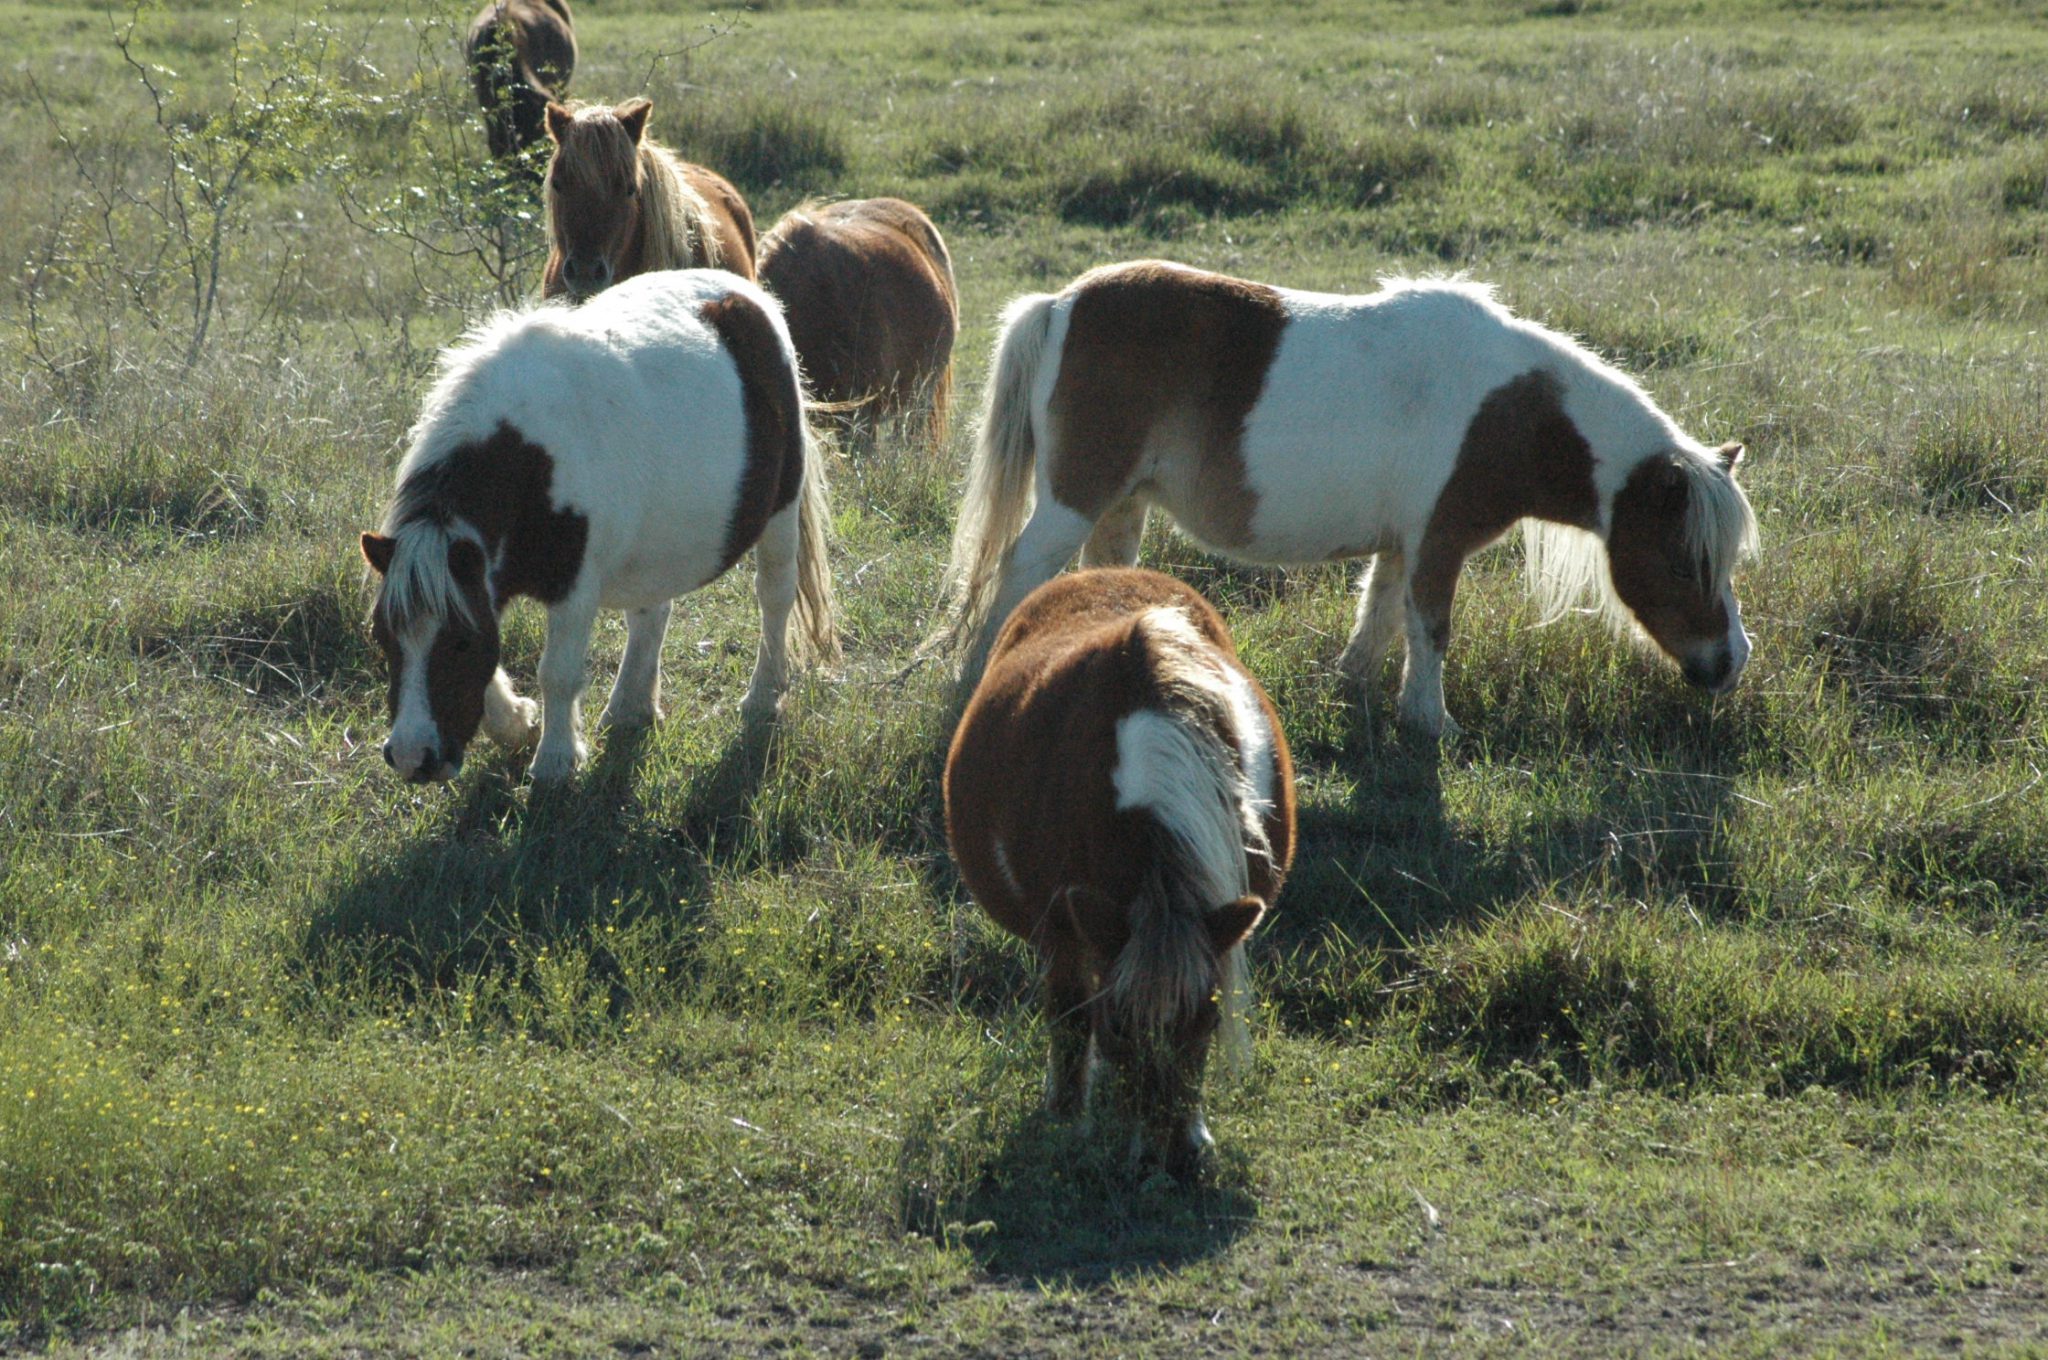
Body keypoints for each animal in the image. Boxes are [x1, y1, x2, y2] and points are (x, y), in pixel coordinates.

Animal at [359, 269, 836, 784]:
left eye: (460, 643)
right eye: (383, 636)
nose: (412, 758)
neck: (528, 460)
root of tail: (743, 290)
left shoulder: (573, 588)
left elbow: (558, 673)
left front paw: (555, 760)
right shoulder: (479, 581)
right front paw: (515, 722)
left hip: (781, 513)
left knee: (774, 597)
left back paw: (763, 697)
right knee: (651, 614)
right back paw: (631, 706)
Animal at [939, 260, 1760, 739]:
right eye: (1685, 561)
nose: (1730, 663)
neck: (1512, 412)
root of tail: (1061, 304)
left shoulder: (1404, 544)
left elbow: (1379, 618)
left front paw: (1354, 693)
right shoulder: (1438, 543)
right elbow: (1429, 630)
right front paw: (1431, 724)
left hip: (1119, 508)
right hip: (1074, 503)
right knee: (1015, 578)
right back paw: (974, 677)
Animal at [944, 567, 1296, 1181]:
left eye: (1207, 1023)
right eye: (1118, 1026)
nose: (1168, 1158)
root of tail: (1107, 573)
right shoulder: (1061, 927)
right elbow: (1068, 1018)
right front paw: (1066, 1117)